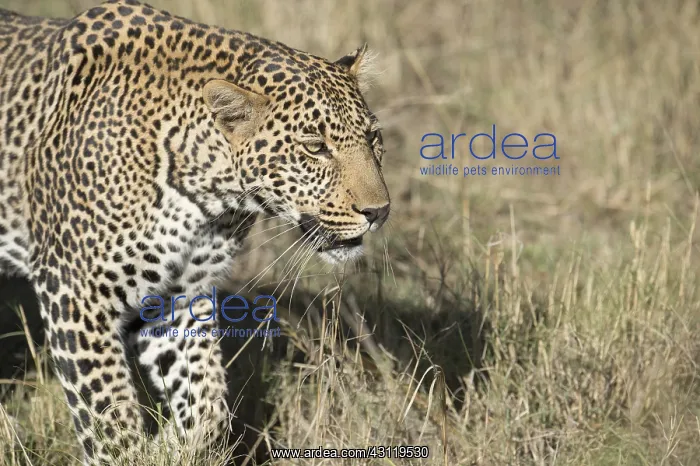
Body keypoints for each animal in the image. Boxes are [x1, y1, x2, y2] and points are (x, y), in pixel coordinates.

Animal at [0, 0, 390, 463]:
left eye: (373, 137)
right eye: (315, 147)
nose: (379, 211)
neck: (209, 192)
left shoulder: (179, 296)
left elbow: (208, 403)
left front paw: (168, 445)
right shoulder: (75, 292)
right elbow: (110, 423)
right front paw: (138, 450)